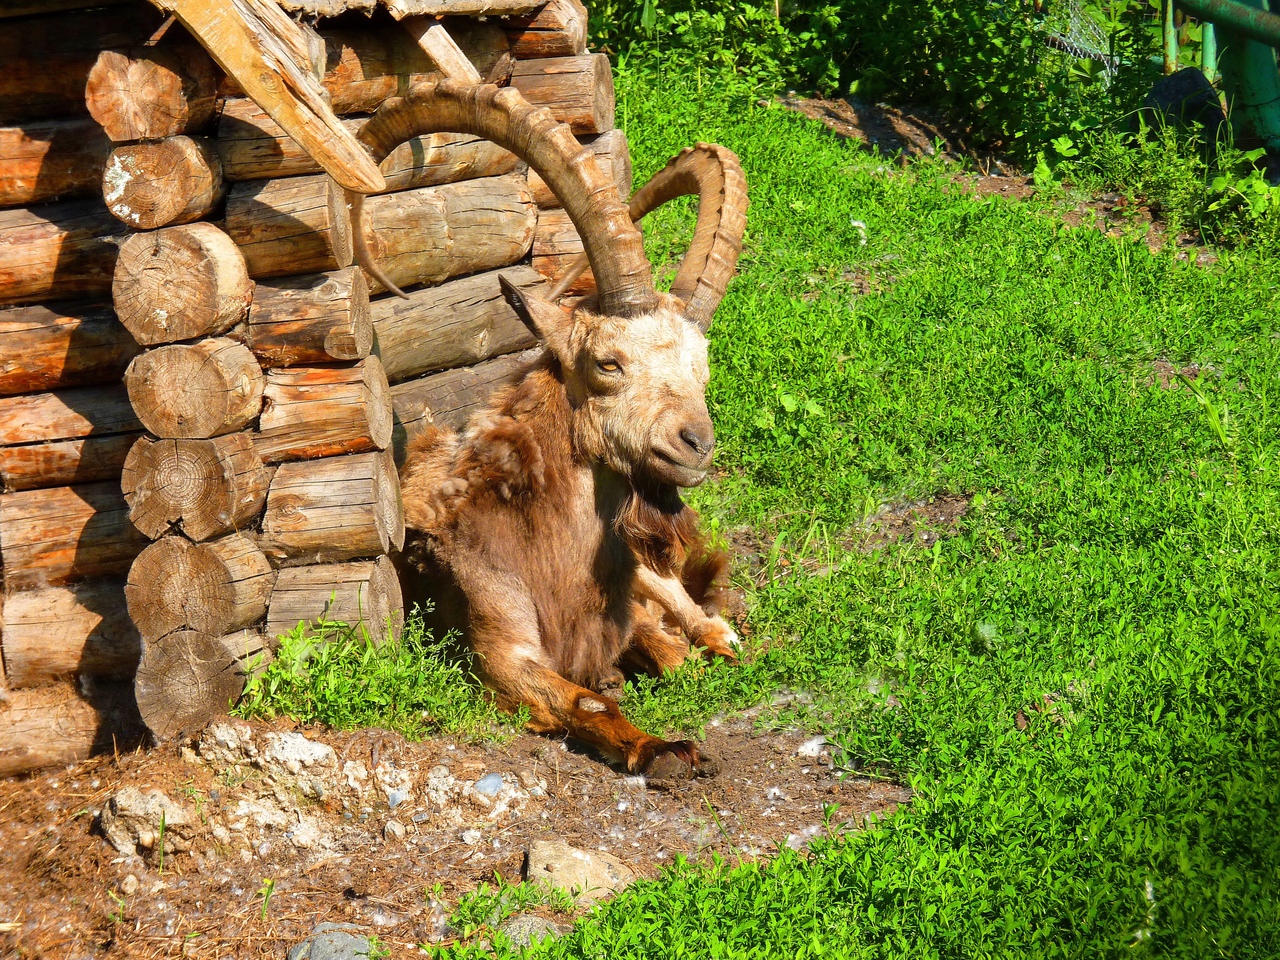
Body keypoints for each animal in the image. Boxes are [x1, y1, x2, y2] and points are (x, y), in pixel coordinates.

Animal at [353, 82, 747, 783]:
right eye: (607, 363)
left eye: (701, 366)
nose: (695, 445)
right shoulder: (499, 649)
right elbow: (584, 699)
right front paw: (661, 747)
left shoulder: (626, 608)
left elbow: (672, 656)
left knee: (696, 613)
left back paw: (722, 637)